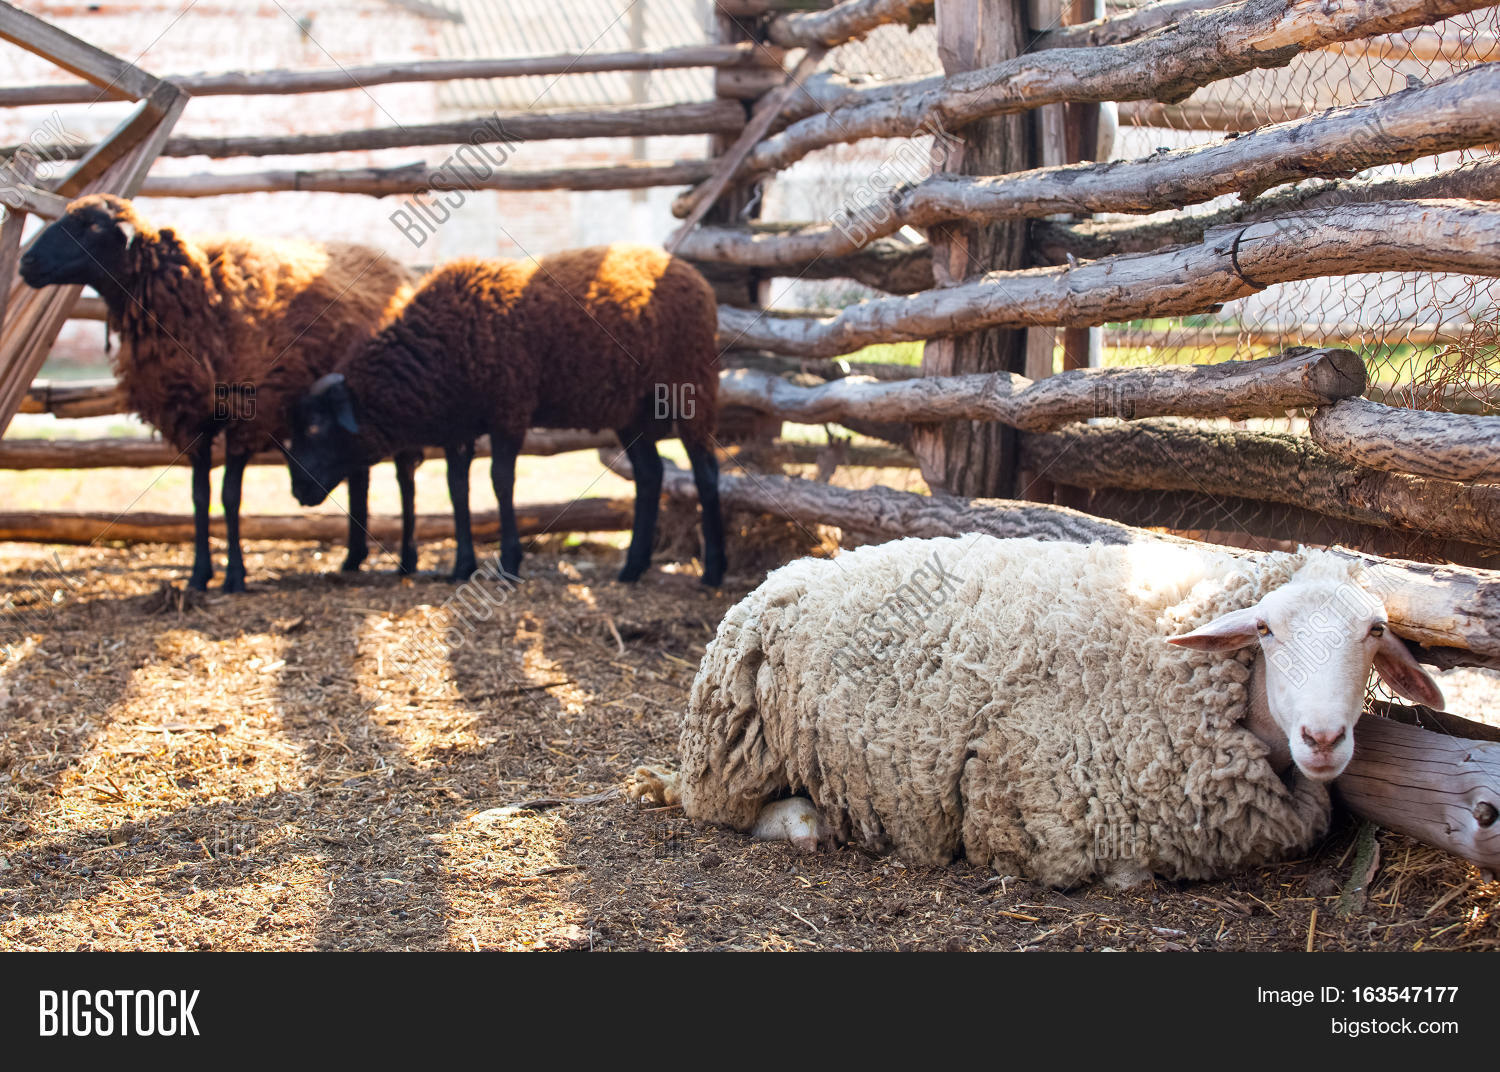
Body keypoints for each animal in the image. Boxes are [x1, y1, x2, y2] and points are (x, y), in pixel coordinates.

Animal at [18, 194, 416, 591]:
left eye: (93, 225)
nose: (26, 262)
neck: (194, 296)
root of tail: (397, 268)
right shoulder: (190, 417)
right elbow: (200, 496)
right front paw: (199, 575)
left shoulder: (247, 414)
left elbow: (229, 495)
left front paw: (235, 575)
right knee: (358, 473)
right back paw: (353, 558)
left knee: (403, 477)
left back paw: (405, 560)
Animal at [282, 245, 726, 586]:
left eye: (316, 426)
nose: (299, 491)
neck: (434, 351)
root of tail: (695, 276)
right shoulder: (458, 425)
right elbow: (457, 488)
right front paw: (462, 566)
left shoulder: (508, 410)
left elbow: (500, 482)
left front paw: (509, 563)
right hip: (634, 410)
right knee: (650, 475)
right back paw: (632, 569)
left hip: (691, 388)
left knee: (706, 473)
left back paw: (713, 572)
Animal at [627, 535, 1444, 888]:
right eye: (1267, 630)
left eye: (1375, 632)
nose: (1324, 737)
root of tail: (779, 576)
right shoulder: (1032, 811)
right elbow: (1124, 875)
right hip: (735, 751)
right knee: (718, 809)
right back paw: (804, 821)